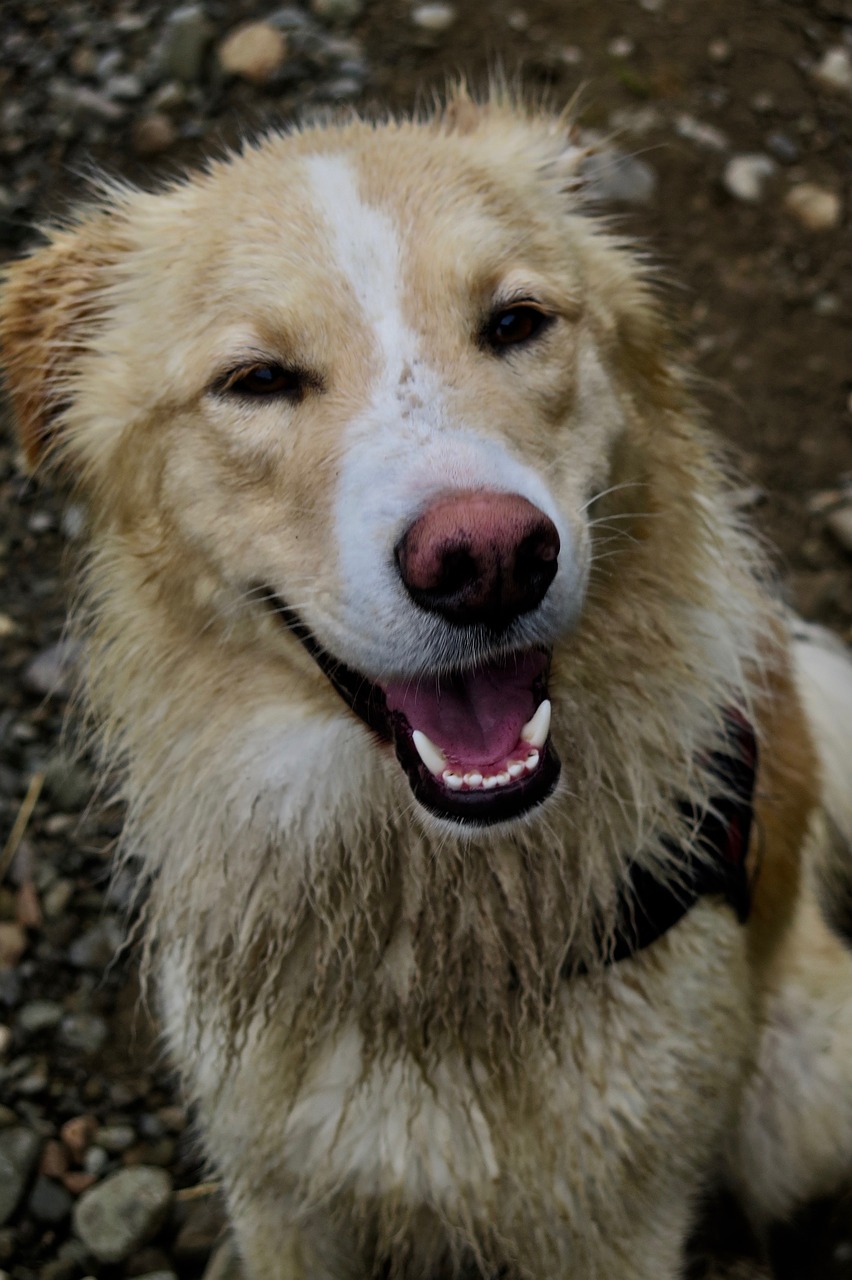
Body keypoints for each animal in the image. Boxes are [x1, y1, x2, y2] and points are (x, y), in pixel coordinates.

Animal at [1, 92, 849, 1280]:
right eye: (258, 380)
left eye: (516, 323)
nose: (489, 557)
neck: (426, 924)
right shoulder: (280, 1195)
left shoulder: (622, 1217)